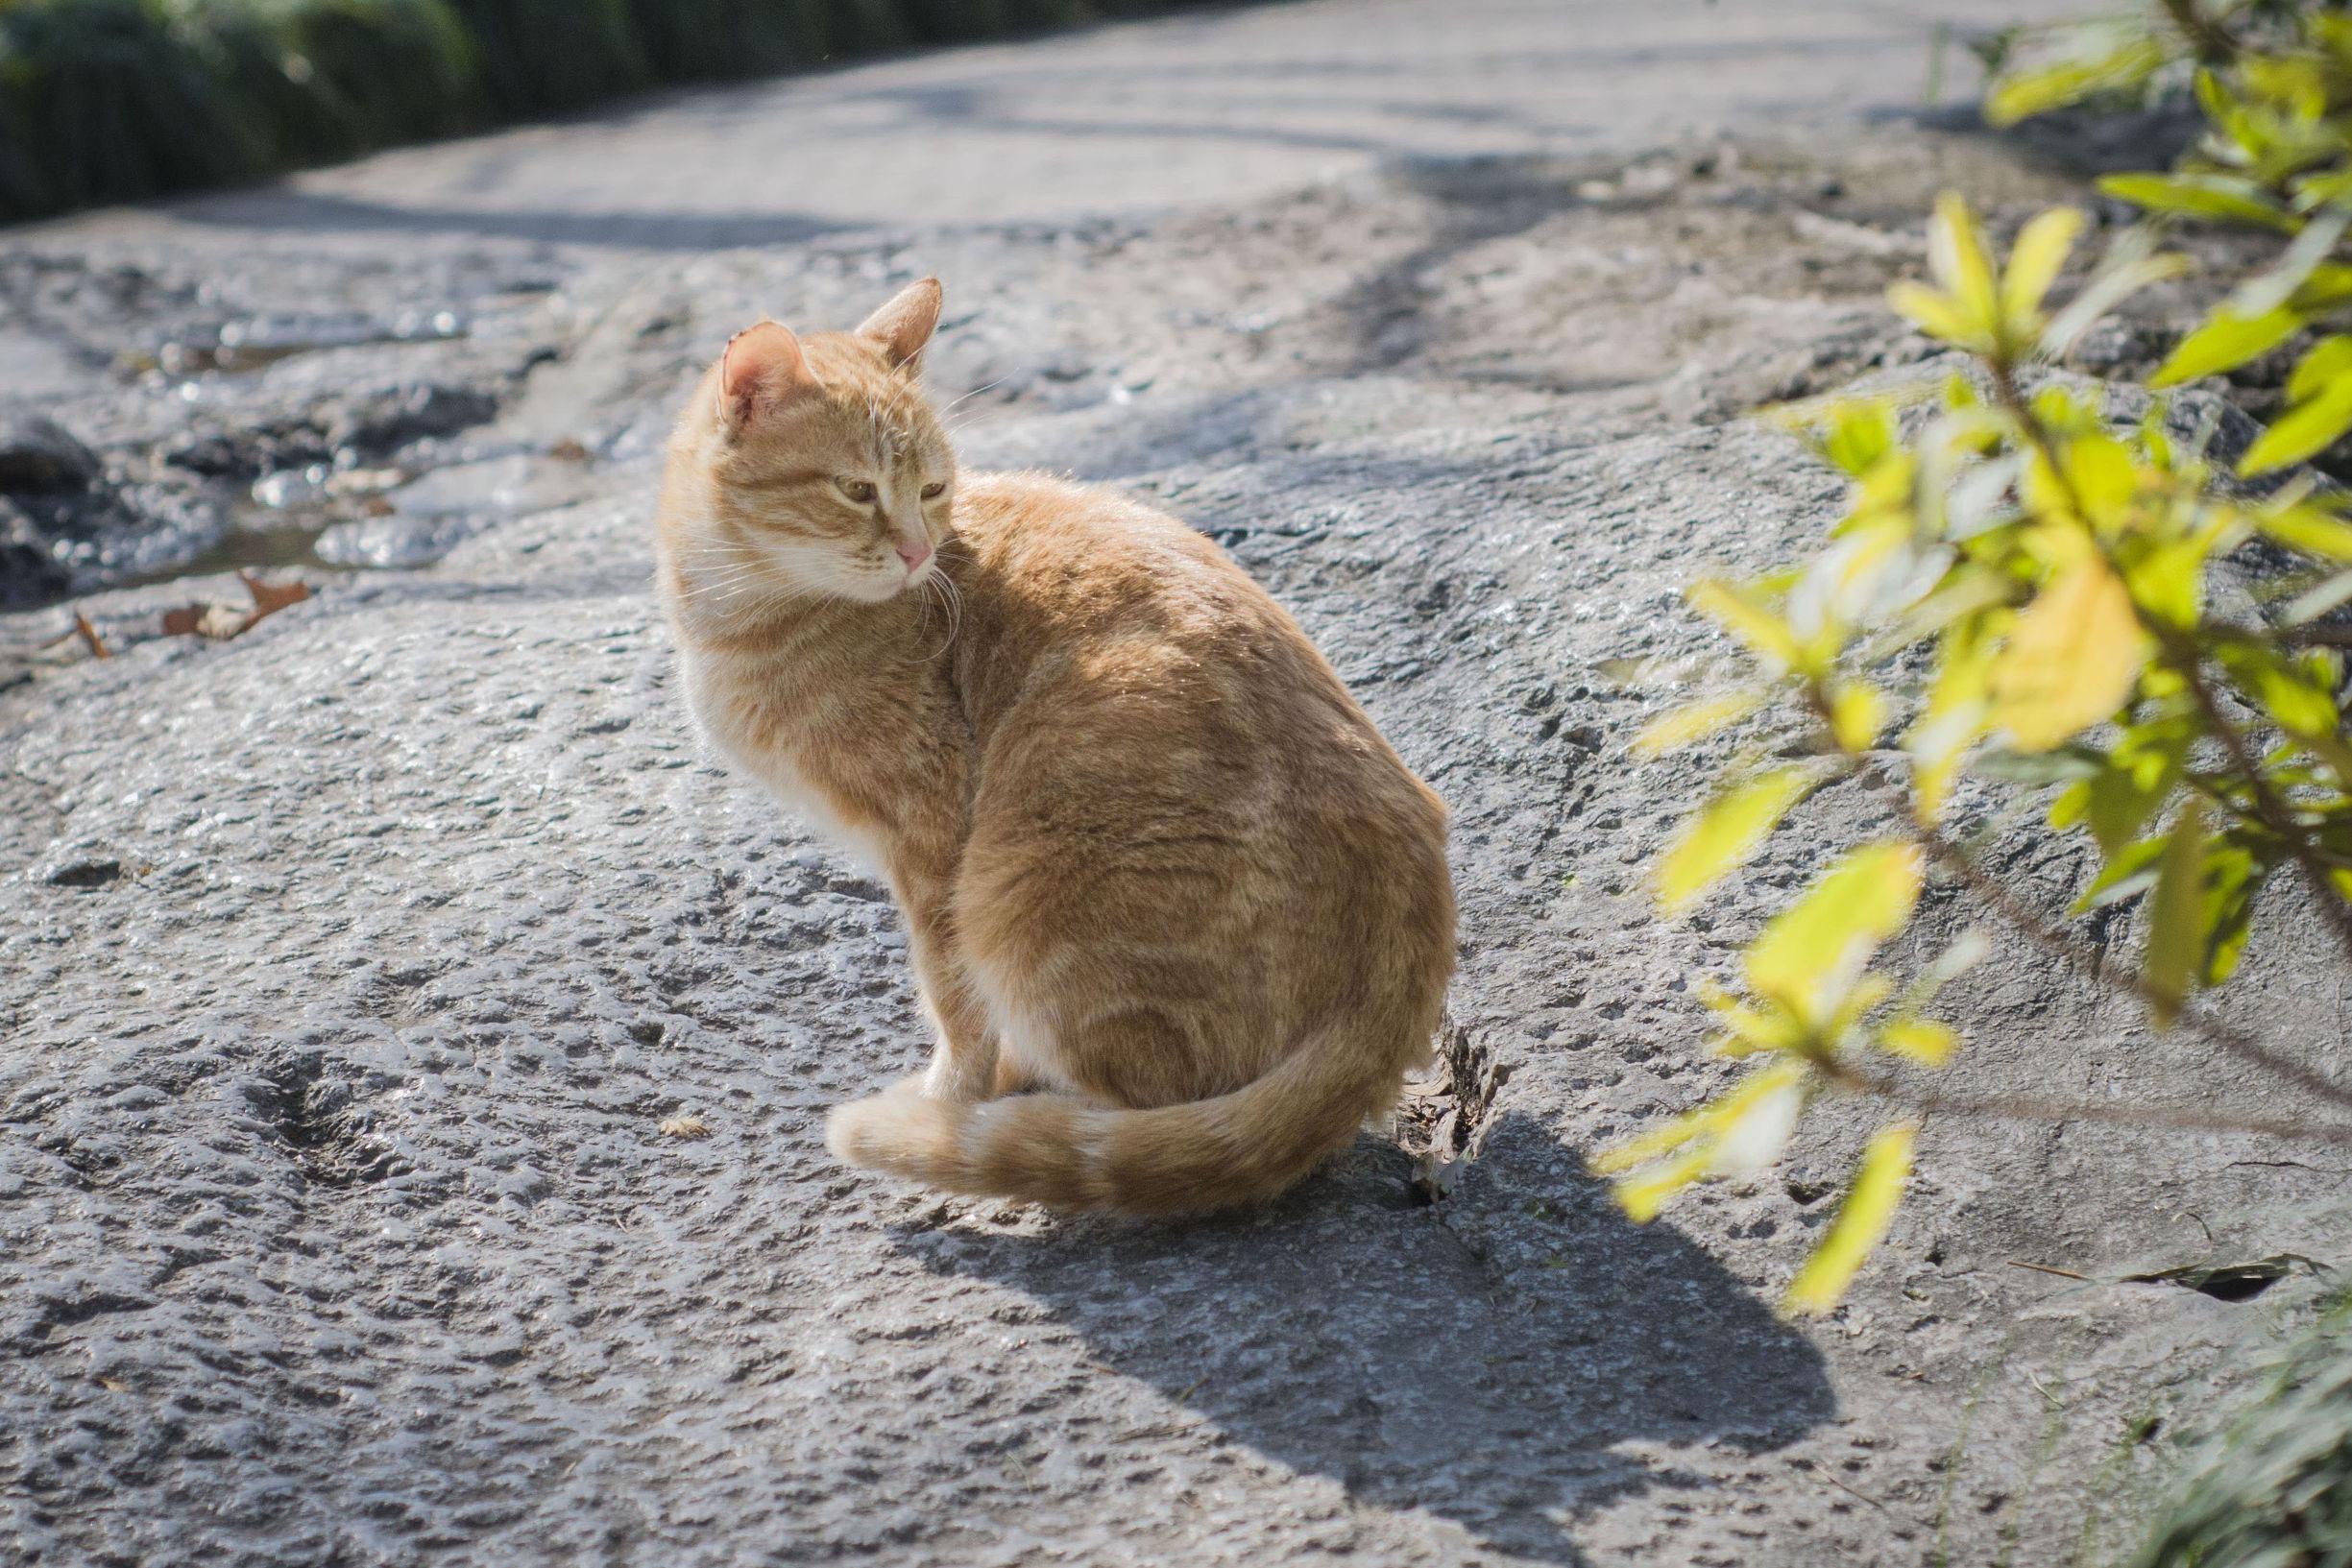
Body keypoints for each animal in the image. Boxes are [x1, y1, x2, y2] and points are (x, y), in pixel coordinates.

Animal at [648, 281, 1448, 1213]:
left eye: (931, 487)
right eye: (855, 489)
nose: (917, 552)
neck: (735, 618)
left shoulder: (931, 842)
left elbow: (952, 997)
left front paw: (949, 1099)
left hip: (1015, 889)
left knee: (1137, 1109)